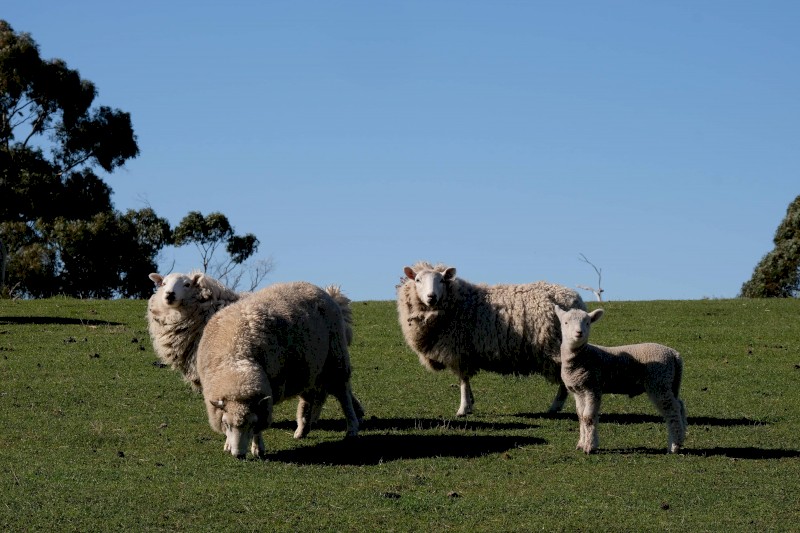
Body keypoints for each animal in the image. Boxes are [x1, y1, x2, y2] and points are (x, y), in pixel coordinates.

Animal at [196, 281, 364, 459]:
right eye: (226, 424)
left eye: (252, 424)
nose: (239, 455)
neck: (236, 360)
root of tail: (324, 291)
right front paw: (228, 444)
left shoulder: (265, 396)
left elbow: (259, 427)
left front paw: (258, 448)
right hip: (307, 370)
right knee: (310, 399)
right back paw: (302, 430)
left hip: (335, 359)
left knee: (343, 394)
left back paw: (352, 428)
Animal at [397, 262, 587, 417]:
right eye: (418, 280)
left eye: (442, 280)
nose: (432, 297)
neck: (458, 302)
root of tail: (574, 299)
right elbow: (465, 381)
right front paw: (470, 403)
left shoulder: (460, 349)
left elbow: (463, 381)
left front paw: (463, 408)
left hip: (554, 346)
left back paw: (556, 406)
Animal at [553, 305, 687, 454]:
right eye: (565, 323)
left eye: (587, 323)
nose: (579, 333)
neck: (583, 357)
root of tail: (674, 354)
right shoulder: (579, 390)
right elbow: (581, 416)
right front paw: (581, 444)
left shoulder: (593, 387)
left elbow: (588, 417)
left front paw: (590, 447)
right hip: (670, 383)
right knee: (679, 405)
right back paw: (681, 438)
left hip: (659, 382)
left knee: (672, 411)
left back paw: (674, 446)